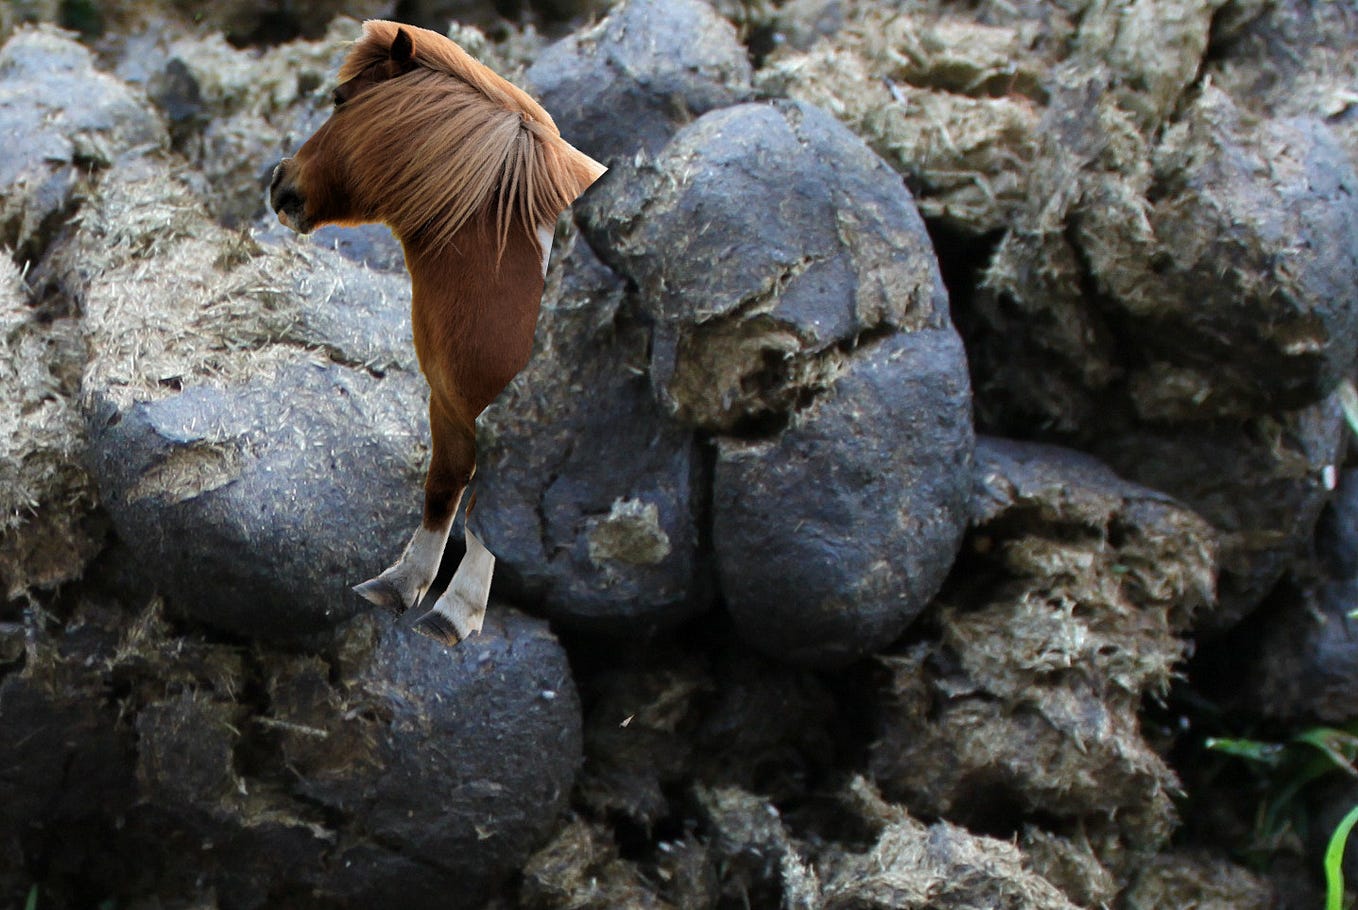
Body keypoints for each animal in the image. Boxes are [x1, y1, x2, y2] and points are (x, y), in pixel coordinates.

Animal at [269, 20, 605, 645]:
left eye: (340, 100)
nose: (281, 181)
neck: (513, 266)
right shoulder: (450, 405)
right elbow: (443, 489)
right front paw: (403, 584)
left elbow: (485, 513)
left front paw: (455, 610)